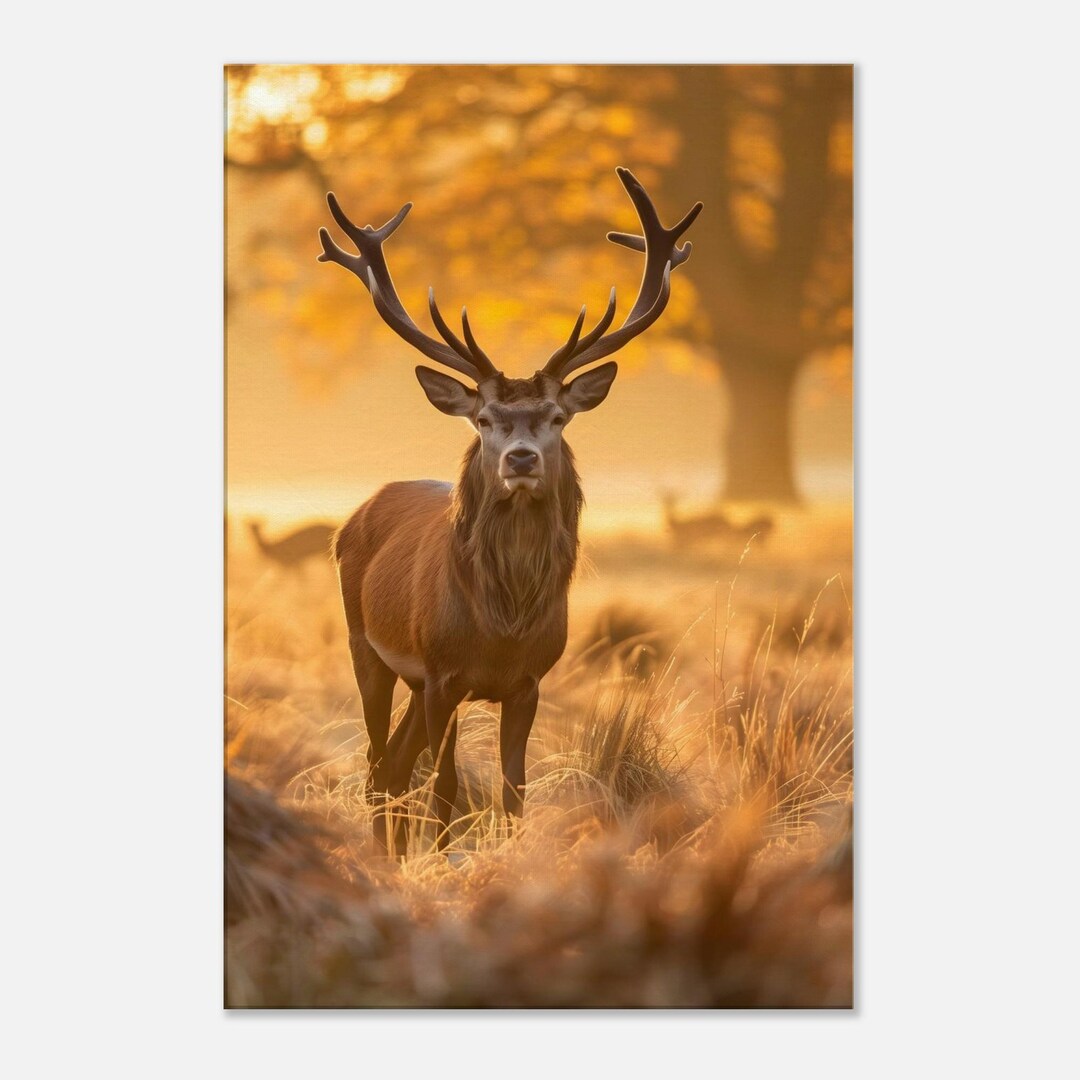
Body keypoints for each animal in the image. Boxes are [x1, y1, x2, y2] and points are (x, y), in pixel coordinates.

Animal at [318, 167, 702, 856]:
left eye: (556, 417)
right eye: (486, 419)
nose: (521, 459)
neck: (502, 627)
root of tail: (355, 514)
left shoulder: (528, 682)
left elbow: (514, 792)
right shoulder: (444, 673)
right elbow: (443, 786)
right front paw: (442, 864)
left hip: (413, 680)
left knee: (392, 764)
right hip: (368, 646)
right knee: (376, 766)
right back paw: (387, 855)